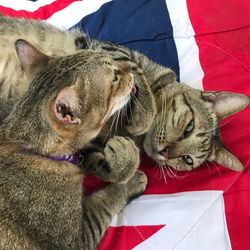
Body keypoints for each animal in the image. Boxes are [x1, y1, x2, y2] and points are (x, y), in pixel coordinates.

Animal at [0, 40, 147, 249]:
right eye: (115, 77)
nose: (133, 66)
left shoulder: (81, 154)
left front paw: (122, 164)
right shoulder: (77, 240)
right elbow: (103, 202)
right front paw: (129, 181)